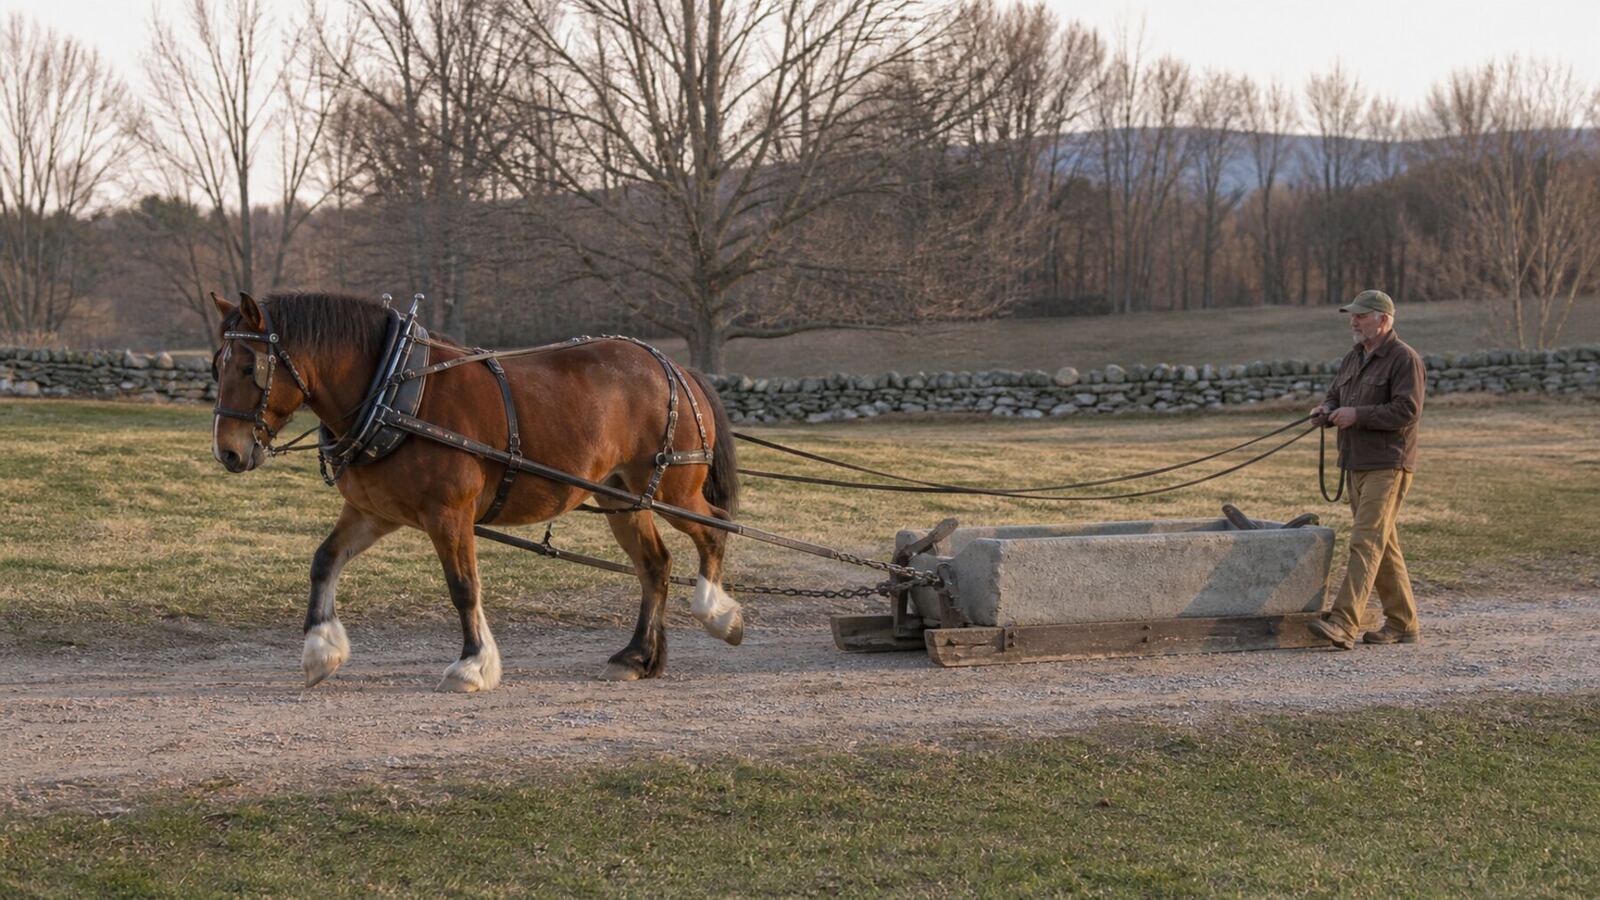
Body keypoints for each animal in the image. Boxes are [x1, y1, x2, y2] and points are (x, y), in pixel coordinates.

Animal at [209, 291, 743, 691]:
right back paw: (637, 657)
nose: (228, 452)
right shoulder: (374, 512)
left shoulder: (449, 513)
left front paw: (472, 665)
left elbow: (463, 586)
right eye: (217, 365)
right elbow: (324, 561)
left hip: (673, 489)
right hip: (622, 498)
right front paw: (321, 650)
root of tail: (675, 368)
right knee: (655, 566)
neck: (392, 389)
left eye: (250, 367)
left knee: (715, 529)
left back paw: (717, 614)